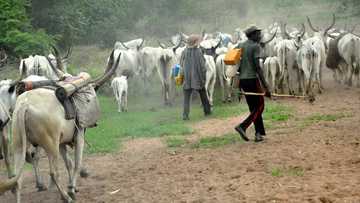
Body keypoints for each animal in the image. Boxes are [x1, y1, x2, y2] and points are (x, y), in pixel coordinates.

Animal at [0, 49, 121, 203]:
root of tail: (24, 106)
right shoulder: (79, 135)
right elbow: (76, 163)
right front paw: (72, 189)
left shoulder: (62, 142)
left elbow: (69, 163)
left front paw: (72, 186)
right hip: (50, 145)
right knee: (53, 172)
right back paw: (65, 196)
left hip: (19, 144)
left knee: (17, 179)